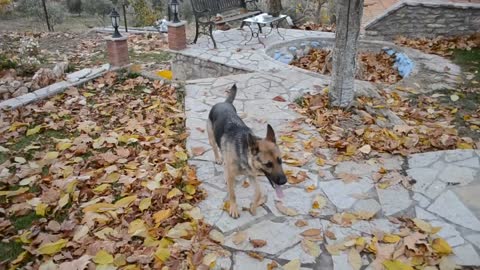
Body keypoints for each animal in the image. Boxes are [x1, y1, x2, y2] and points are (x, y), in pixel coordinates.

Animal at [205, 83, 284, 218]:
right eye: (268, 164)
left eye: (280, 160)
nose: (284, 181)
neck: (243, 151)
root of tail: (223, 103)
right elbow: (232, 194)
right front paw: (233, 209)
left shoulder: (251, 174)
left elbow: (258, 192)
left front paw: (253, 207)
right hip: (212, 138)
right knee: (215, 149)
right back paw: (218, 159)